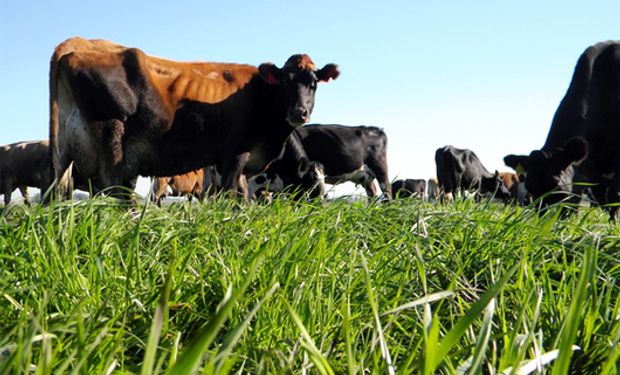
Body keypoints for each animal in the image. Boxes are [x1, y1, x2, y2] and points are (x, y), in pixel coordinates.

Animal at [47, 37, 340, 203]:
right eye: (284, 83)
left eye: (313, 84)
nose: (299, 112)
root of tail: (75, 45)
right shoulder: (235, 155)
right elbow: (231, 196)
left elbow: (239, 197)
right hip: (112, 145)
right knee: (114, 194)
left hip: (62, 151)